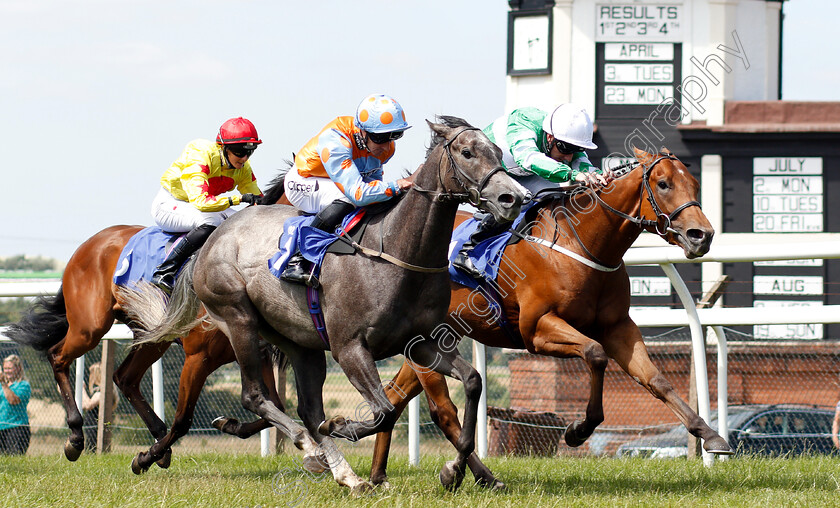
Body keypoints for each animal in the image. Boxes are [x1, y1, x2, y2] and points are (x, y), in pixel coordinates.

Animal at [120, 118, 524, 492]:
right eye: (467, 152)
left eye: (498, 151)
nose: (513, 198)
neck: (397, 251)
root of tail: (214, 237)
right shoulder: (349, 347)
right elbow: (383, 411)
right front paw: (342, 427)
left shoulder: (421, 343)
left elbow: (472, 383)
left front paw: (453, 471)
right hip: (238, 320)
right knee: (256, 397)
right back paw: (308, 447)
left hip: (299, 342)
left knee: (307, 407)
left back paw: (345, 474)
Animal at [364, 148, 732, 488]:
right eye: (663, 183)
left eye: (695, 183)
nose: (702, 235)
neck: (582, 244)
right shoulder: (538, 330)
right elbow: (595, 354)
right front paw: (578, 430)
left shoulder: (618, 328)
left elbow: (656, 380)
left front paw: (710, 435)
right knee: (442, 411)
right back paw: (459, 471)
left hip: (436, 340)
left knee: (394, 396)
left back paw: (379, 474)